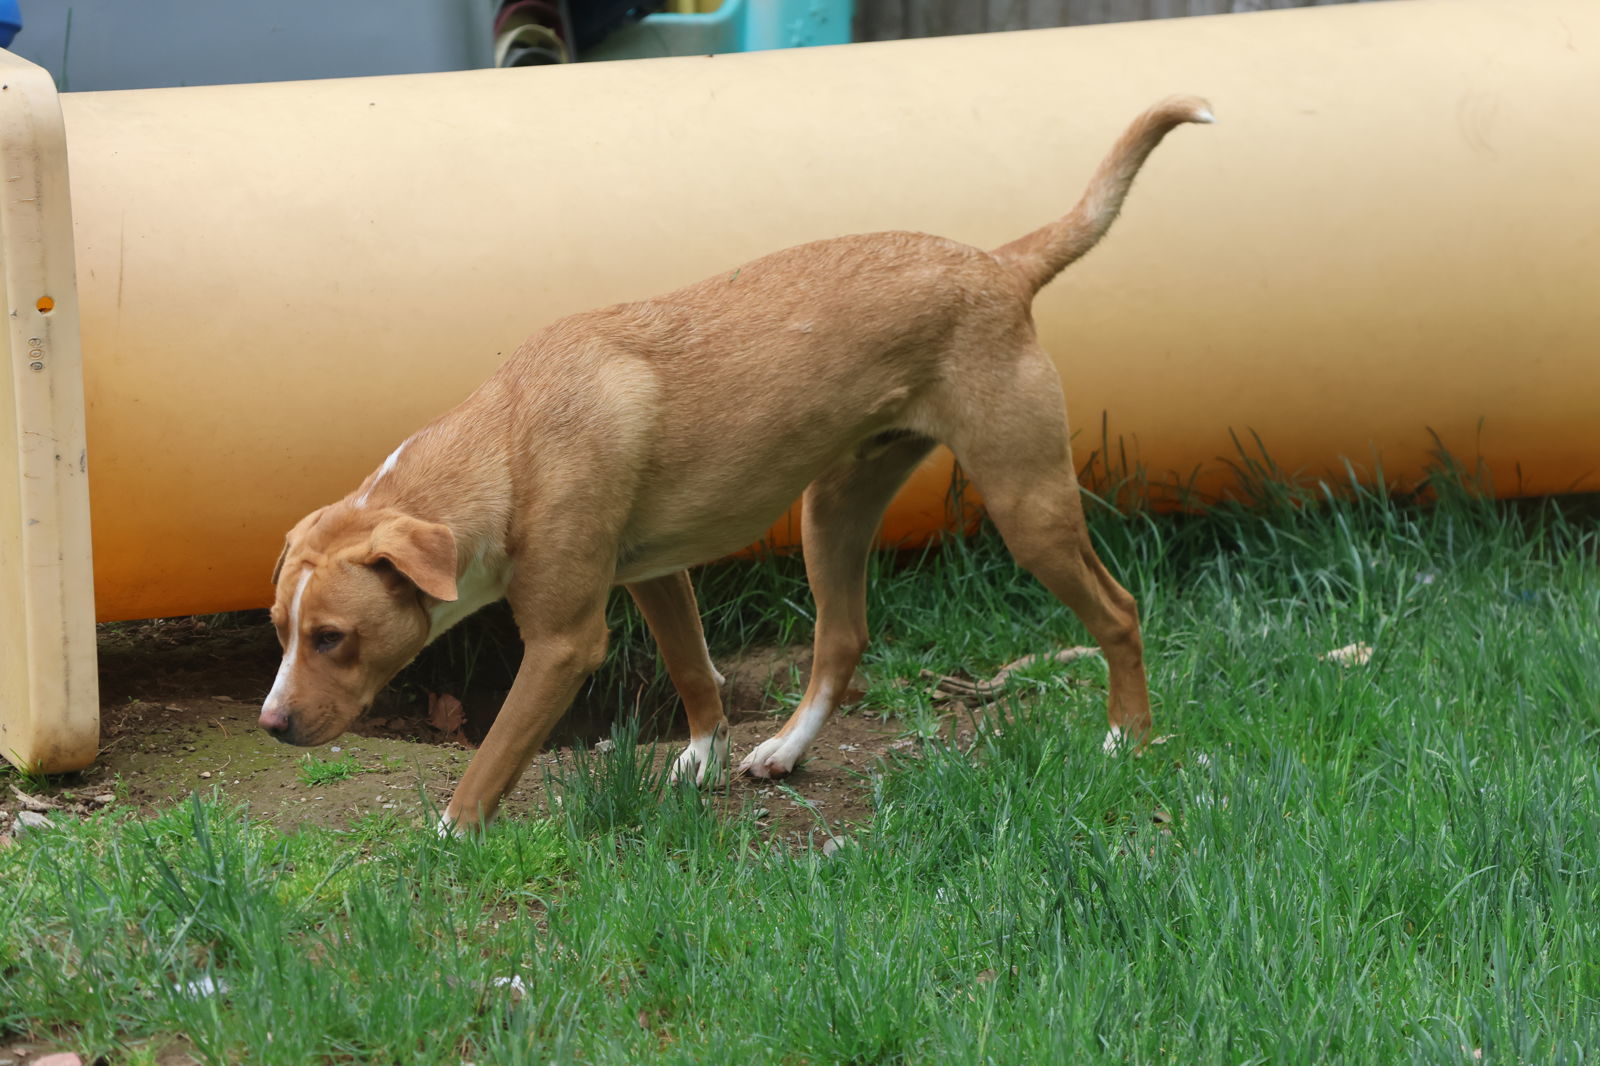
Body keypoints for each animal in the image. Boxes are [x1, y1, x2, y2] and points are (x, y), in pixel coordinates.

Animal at [265, 97, 1209, 832]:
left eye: (332, 637)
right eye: (280, 630)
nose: (270, 725)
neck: (508, 444)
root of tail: (1000, 263)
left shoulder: (565, 643)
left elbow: (494, 753)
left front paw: (452, 833)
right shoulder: (655, 575)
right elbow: (694, 671)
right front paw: (702, 757)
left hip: (1028, 505)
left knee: (1120, 611)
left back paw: (1128, 737)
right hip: (831, 512)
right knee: (842, 638)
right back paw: (786, 749)